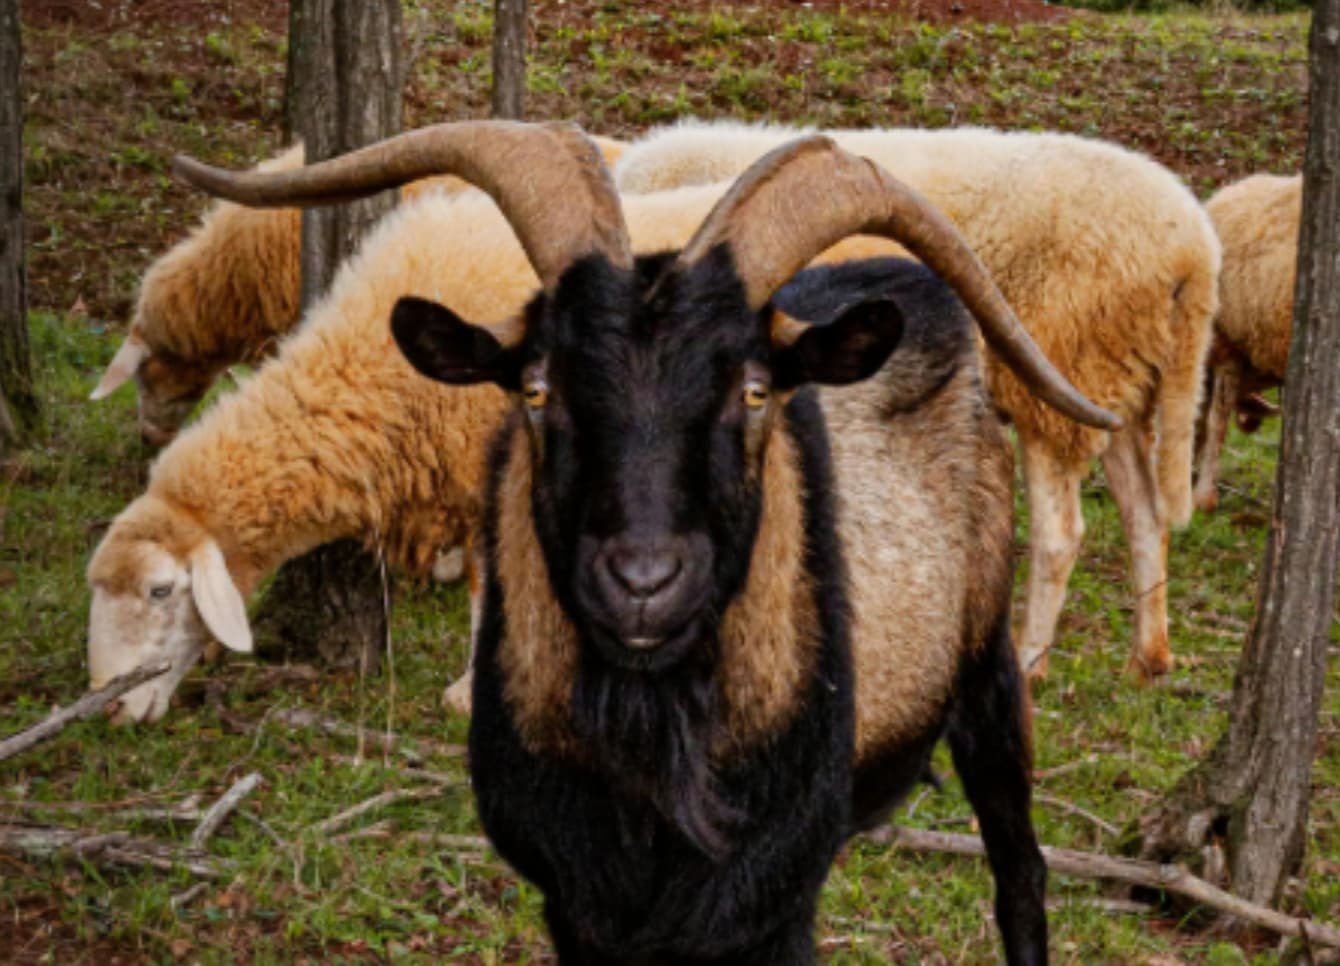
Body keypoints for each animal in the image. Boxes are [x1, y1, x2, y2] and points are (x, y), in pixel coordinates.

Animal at [170, 121, 1119, 963]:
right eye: (537, 386)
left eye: (755, 390)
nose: (642, 583)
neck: (655, 757)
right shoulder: (576, 904)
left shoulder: (769, 903)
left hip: (988, 674)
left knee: (1021, 876)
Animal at [614, 119, 1222, 681]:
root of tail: (1194, 248)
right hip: (1118, 387)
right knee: (1145, 513)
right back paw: (1149, 656)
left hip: (1062, 379)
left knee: (1061, 536)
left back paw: (1030, 662)